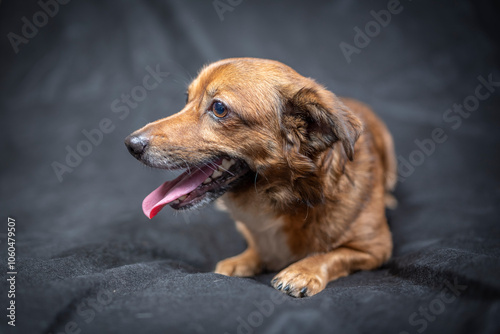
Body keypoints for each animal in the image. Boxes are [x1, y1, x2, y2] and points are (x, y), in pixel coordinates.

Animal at [126, 57, 398, 298]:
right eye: (187, 99)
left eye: (219, 108)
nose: (130, 144)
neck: (288, 197)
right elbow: (258, 249)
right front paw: (242, 261)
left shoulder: (376, 249)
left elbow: (332, 255)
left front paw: (302, 271)